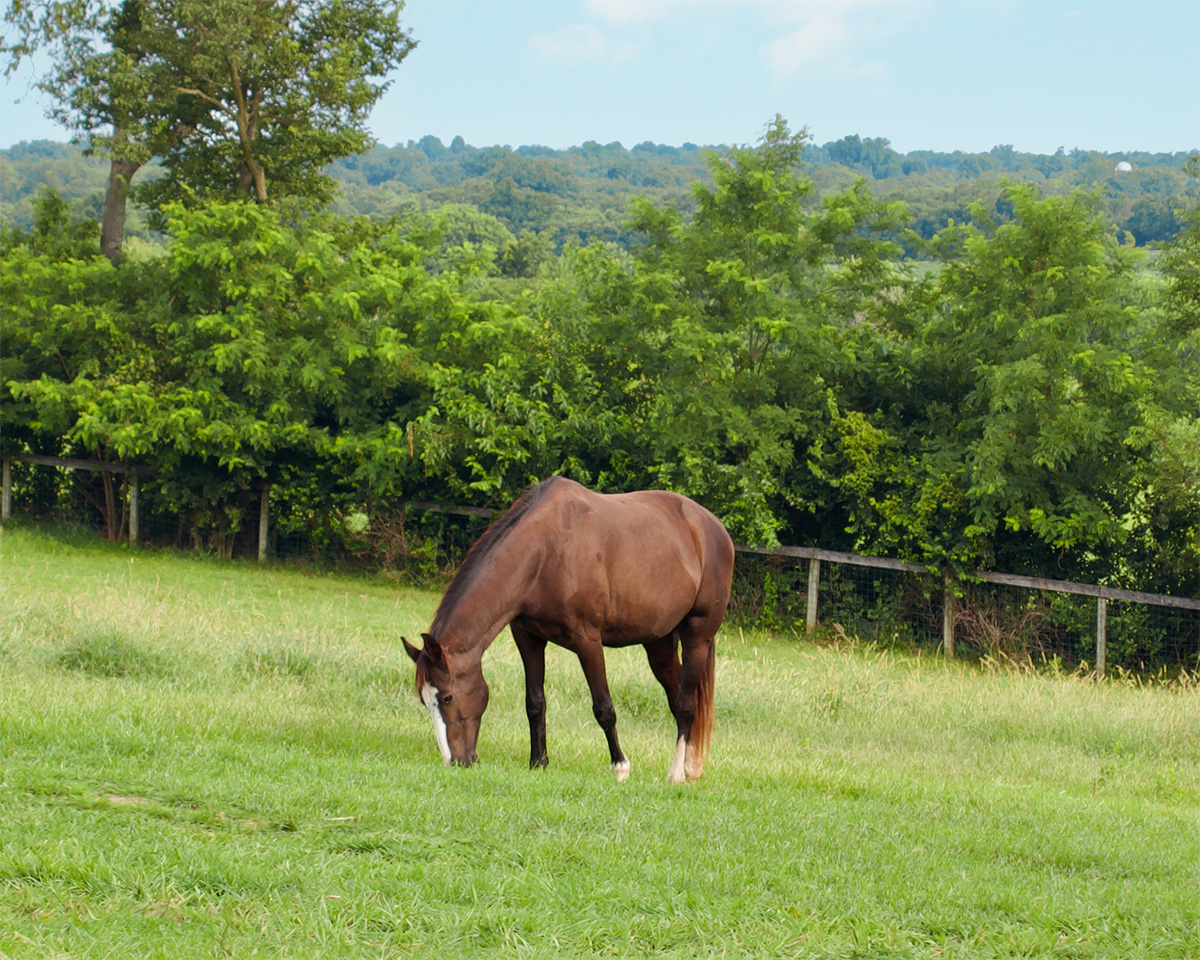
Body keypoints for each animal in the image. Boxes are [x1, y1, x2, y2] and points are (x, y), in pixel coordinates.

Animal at [402, 476, 734, 783]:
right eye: (424, 700)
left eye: (447, 698)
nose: (456, 762)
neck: (546, 553)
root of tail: (713, 528)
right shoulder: (528, 637)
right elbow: (535, 703)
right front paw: (538, 762)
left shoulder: (588, 641)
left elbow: (604, 707)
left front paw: (620, 767)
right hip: (659, 643)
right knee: (678, 696)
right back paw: (692, 767)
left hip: (698, 636)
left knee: (686, 704)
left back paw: (676, 773)